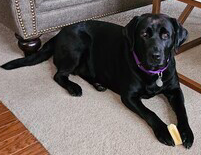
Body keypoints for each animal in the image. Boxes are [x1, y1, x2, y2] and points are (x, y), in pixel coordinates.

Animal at [1, 13, 193, 149]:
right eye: (144, 34)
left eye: (166, 35)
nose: (156, 56)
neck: (153, 73)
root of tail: (60, 33)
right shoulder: (129, 96)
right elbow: (150, 113)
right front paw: (164, 132)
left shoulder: (175, 90)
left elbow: (182, 111)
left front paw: (187, 133)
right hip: (79, 45)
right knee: (59, 75)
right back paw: (74, 87)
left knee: (81, 72)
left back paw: (98, 84)